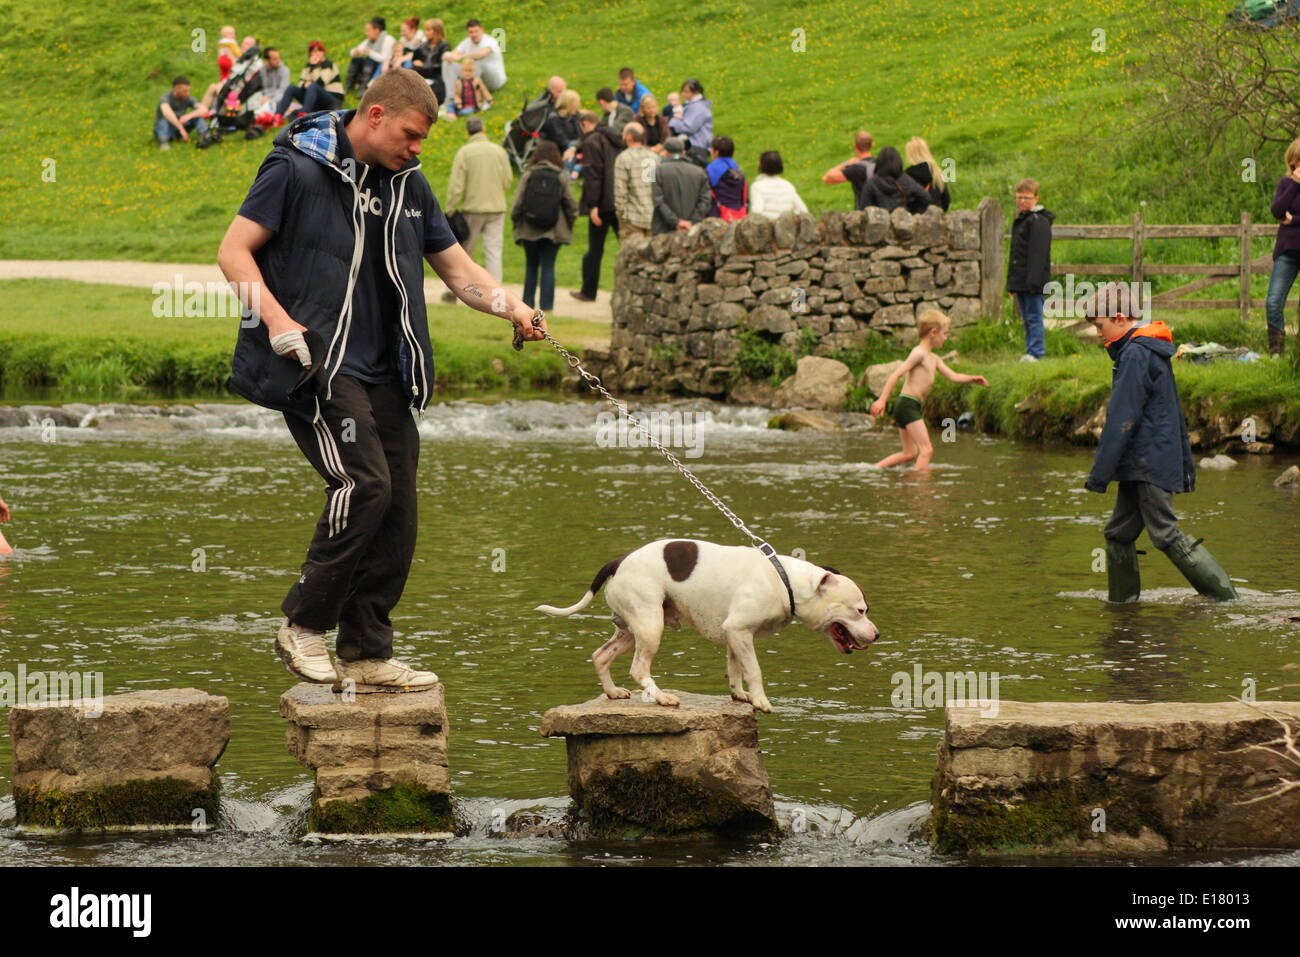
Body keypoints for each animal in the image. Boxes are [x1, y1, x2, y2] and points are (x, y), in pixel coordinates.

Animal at [533, 538, 878, 712]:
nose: (876, 633)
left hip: (630, 630)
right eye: (860, 610)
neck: (786, 581)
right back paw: (662, 698)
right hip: (650, 625)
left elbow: (735, 668)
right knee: (639, 668)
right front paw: (761, 700)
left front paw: (740, 695)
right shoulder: (740, 630)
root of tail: (619, 561)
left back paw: (613, 691)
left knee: (601, 655)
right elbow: (754, 670)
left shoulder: (735, 634)